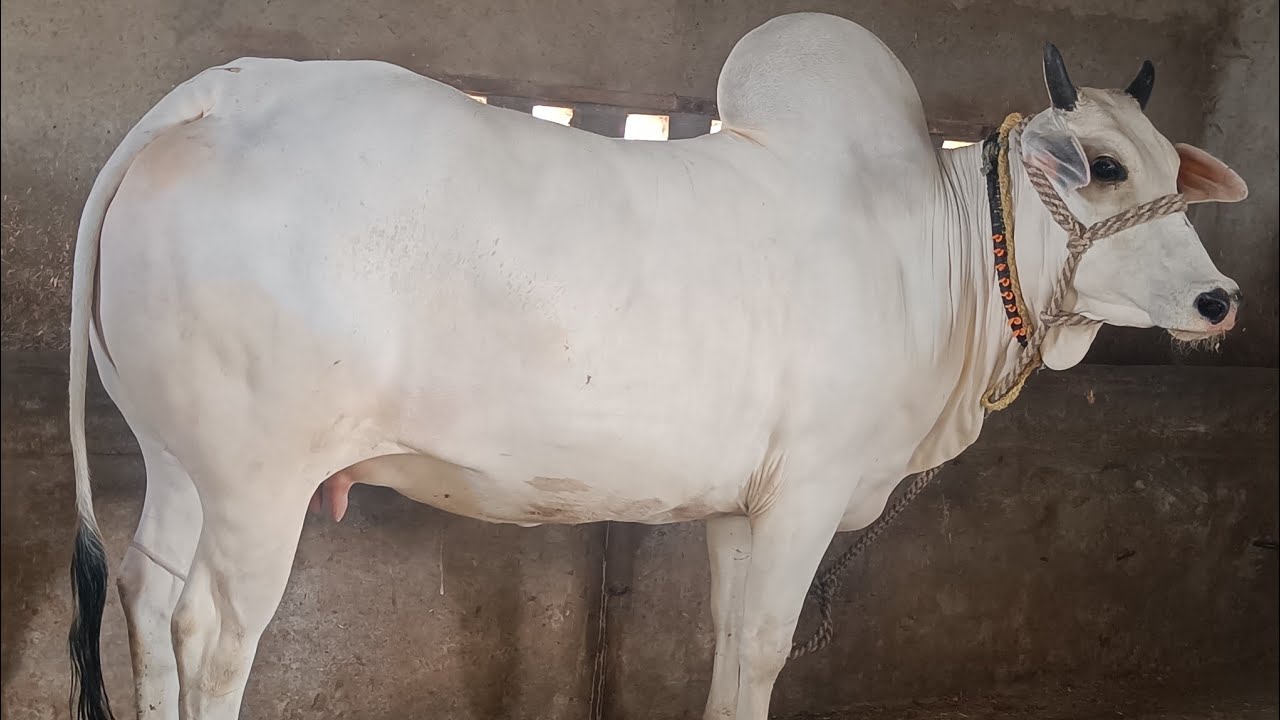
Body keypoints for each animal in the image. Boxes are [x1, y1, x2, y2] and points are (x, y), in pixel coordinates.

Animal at [65, 12, 1247, 720]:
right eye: (1103, 166)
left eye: (1168, 168)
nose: (1217, 301)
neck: (938, 252)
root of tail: (224, 92)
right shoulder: (807, 492)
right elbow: (765, 645)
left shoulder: (741, 506)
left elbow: (725, 642)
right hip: (260, 481)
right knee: (212, 630)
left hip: (178, 459)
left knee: (145, 593)